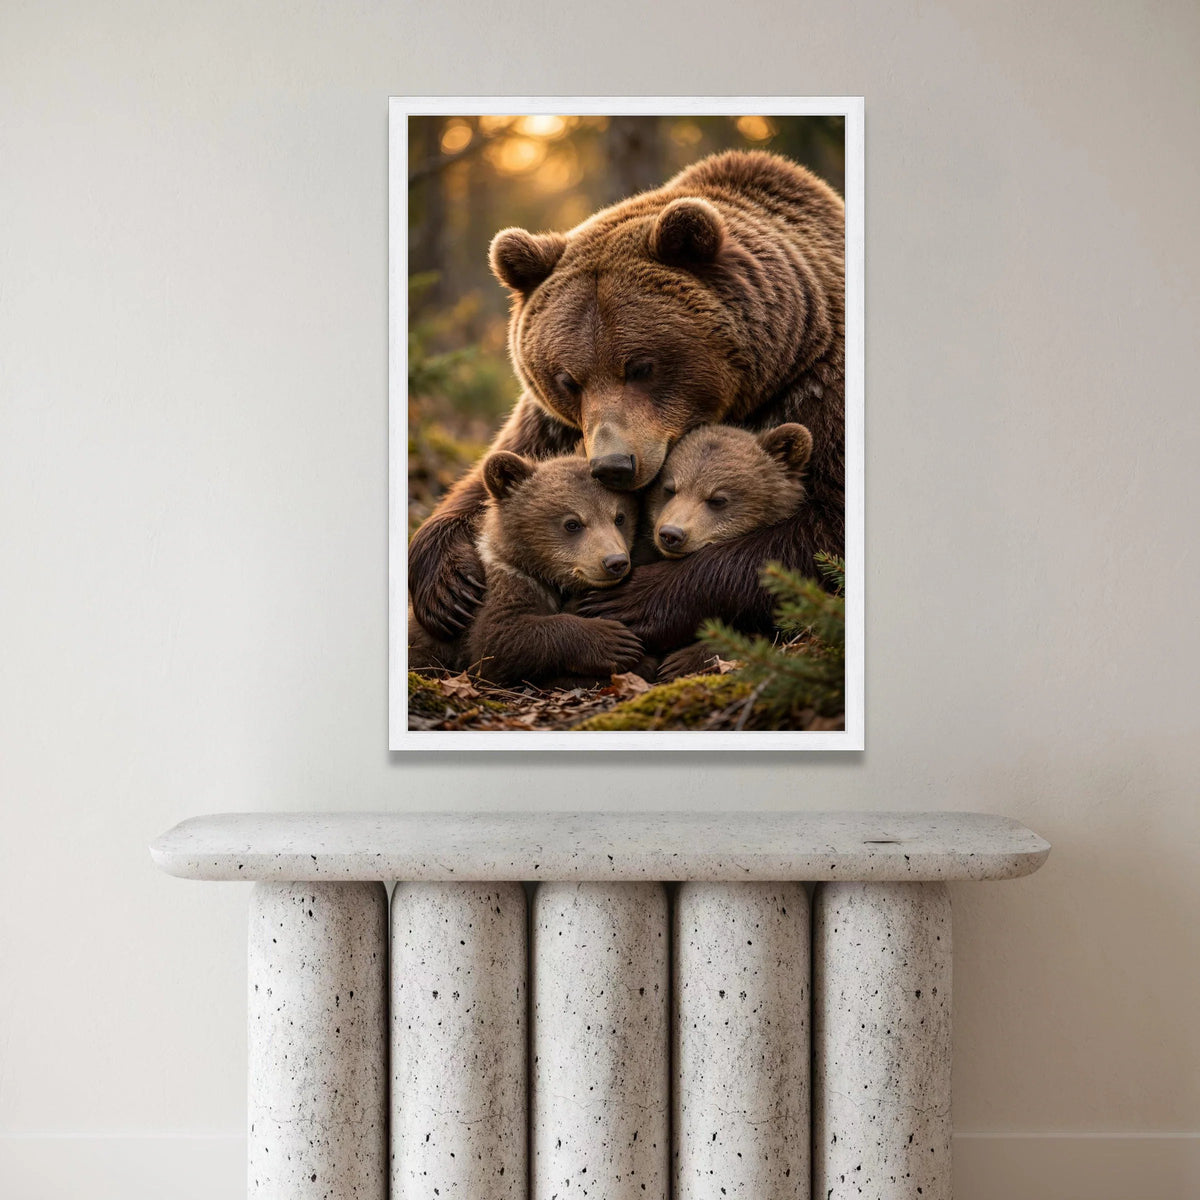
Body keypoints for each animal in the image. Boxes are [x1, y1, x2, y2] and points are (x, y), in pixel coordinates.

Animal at [408, 451, 644, 688]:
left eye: (619, 517)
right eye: (572, 523)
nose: (615, 562)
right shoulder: (504, 582)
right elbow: (499, 639)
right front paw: (616, 641)